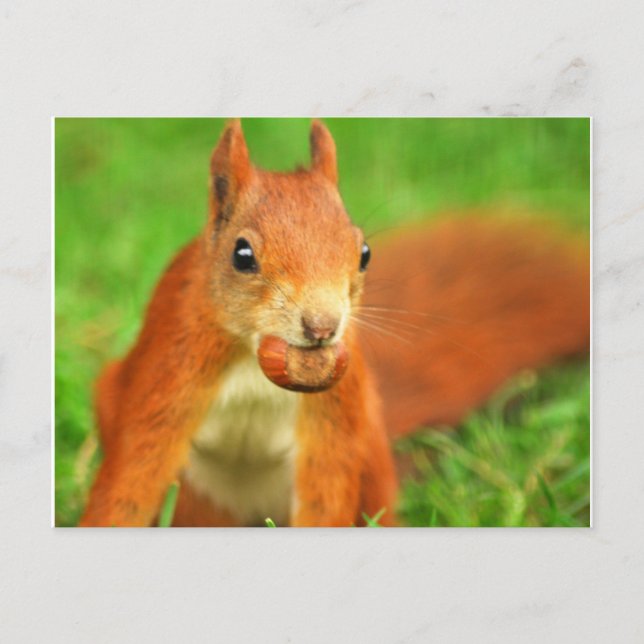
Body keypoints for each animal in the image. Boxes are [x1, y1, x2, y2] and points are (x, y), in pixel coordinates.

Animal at [80, 120, 589, 527]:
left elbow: (326, 487)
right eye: (242, 255)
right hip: (195, 497)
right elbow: (134, 473)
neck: (254, 355)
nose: (322, 326)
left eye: (364, 253)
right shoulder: (172, 368)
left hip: (371, 454)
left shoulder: (335, 411)